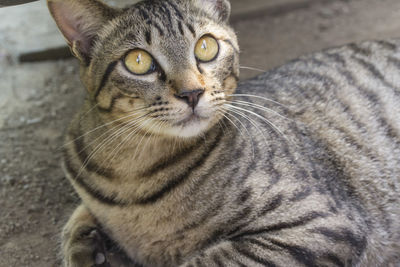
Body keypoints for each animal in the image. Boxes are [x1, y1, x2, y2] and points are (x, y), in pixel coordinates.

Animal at [47, 0, 400, 266]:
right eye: (138, 61)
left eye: (206, 46)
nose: (191, 93)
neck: (132, 174)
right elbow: (77, 219)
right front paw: (86, 244)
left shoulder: (319, 222)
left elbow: (208, 261)